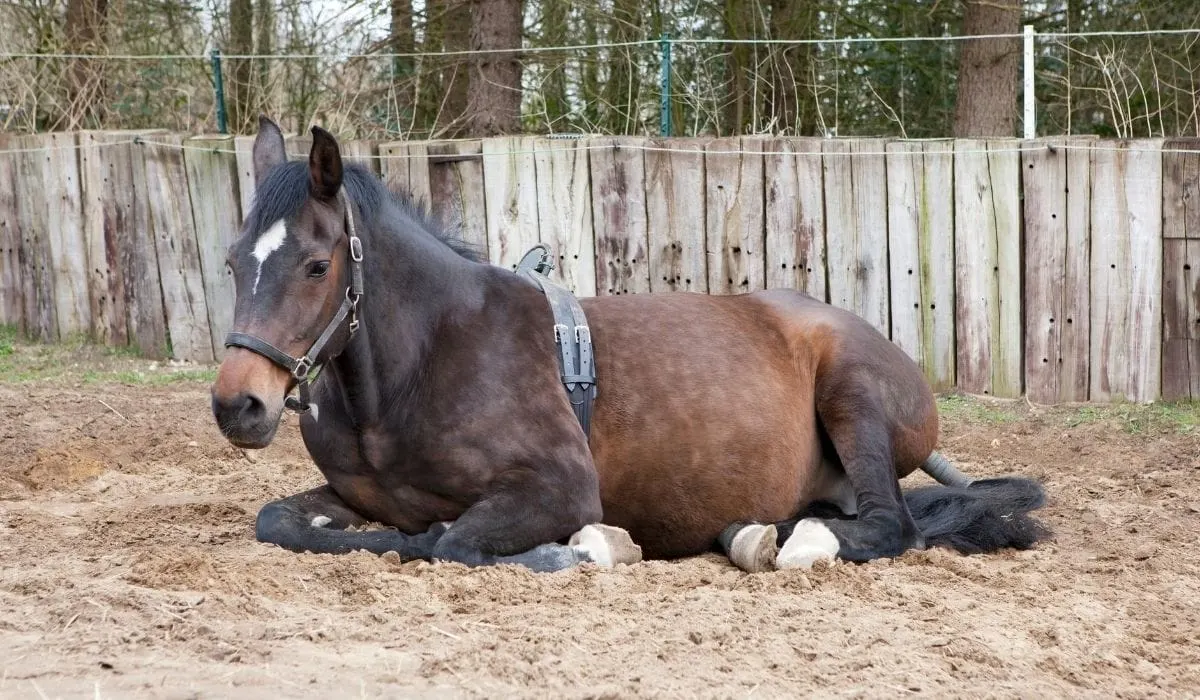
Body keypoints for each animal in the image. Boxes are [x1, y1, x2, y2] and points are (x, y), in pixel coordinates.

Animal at [210, 117, 1048, 573]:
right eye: (232, 261)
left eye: (317, 266)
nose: (238, 405)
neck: (421, 366)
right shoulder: (357, 497)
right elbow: (283, 523)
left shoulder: (557, 488)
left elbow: (450, 541)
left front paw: (588, 548)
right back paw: (750, 531)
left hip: (854, 394)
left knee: (886, 526)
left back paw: (793, 541)